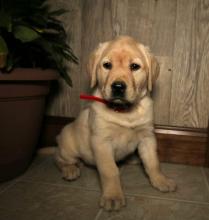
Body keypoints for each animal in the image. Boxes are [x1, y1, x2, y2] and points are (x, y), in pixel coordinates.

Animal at [56, 35, 176, 210]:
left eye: (134, 66)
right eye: (107, 65)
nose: (118, 87)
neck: (125, 113)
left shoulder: (147, 137)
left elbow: (153, 162)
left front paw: (161, 180)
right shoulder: (101, 142)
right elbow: (110, 170)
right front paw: (112, 196)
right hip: (68, 145)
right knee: (59, 159)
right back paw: (70, 170)